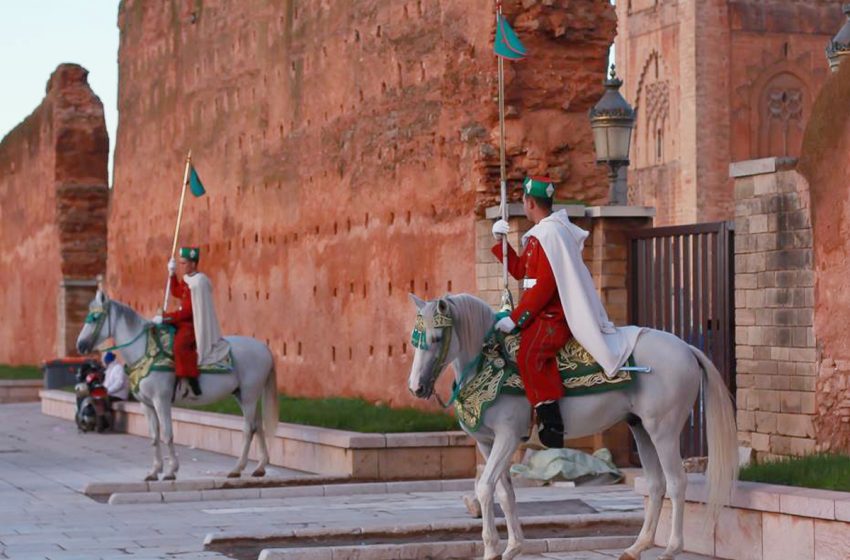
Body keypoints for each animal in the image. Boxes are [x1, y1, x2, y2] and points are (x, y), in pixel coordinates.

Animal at [74, 290, 276, 480]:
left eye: (94, 318)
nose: (80, 346)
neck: (146, 352)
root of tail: (264, 348)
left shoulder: (161, 400)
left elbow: (167, 434)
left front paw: (171, 471)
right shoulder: (146, 404)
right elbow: (154, 436)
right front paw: (154, 471)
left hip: (249, 395)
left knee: (248, 429)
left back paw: (237, 468)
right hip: (244, 395)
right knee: (258, 426)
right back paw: (260, 467)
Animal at [406, 294, 736, 560]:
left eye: (436, 338)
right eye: (415, 340)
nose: (416, 388)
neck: (488, 363)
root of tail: (686, 348)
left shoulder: (507, 437)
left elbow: (485, 488)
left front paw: (491, 550)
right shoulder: (487, 443)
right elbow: (504, 492)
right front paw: (513, 548)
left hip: (664, 430)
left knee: (677, 482)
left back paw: (670, 549)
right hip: (641, 428)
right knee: (656, 485)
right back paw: (636, 548)